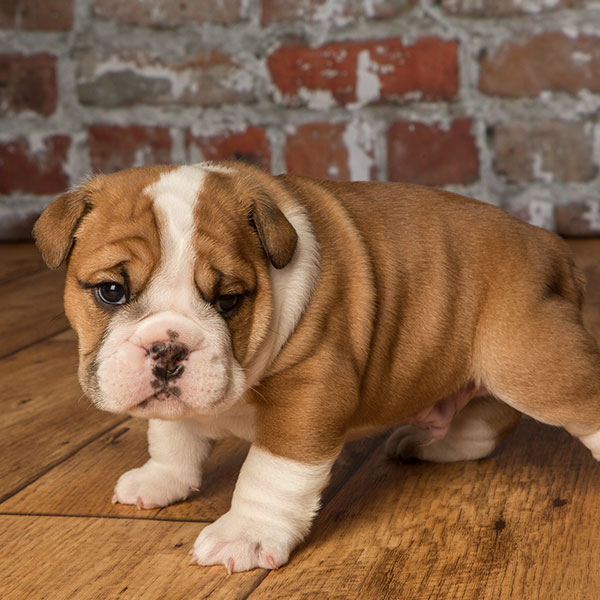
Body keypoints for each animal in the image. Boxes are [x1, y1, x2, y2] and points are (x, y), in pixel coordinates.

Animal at [34, 162, 600, 576]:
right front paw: (162, 479)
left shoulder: (309, 392)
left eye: (229, 300)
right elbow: (172, 435)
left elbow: (270, 472)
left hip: (530, 359)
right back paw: (428, 443)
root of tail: (551, 246)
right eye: (111, 291)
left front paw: (245, 534)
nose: (169, 349)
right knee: (484, 423)